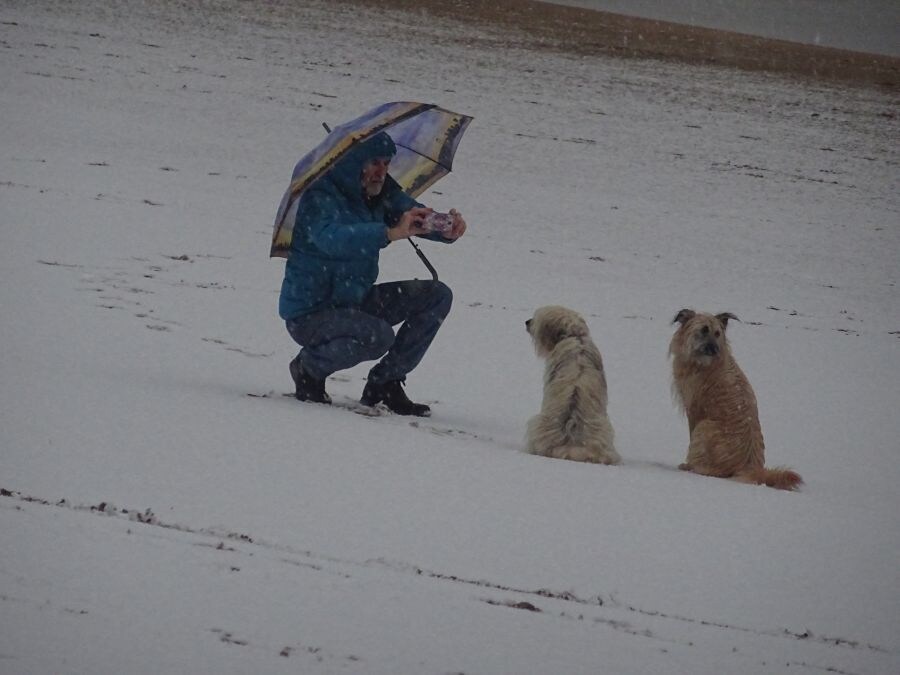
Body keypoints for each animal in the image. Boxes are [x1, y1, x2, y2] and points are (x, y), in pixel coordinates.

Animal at [668, 310, 800, 492]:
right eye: (704, 330)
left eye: (717, 333)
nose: (714, 349)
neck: (703, 362)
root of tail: (750, 468)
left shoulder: (694, 409)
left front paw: (687, 464)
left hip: (705, 427)